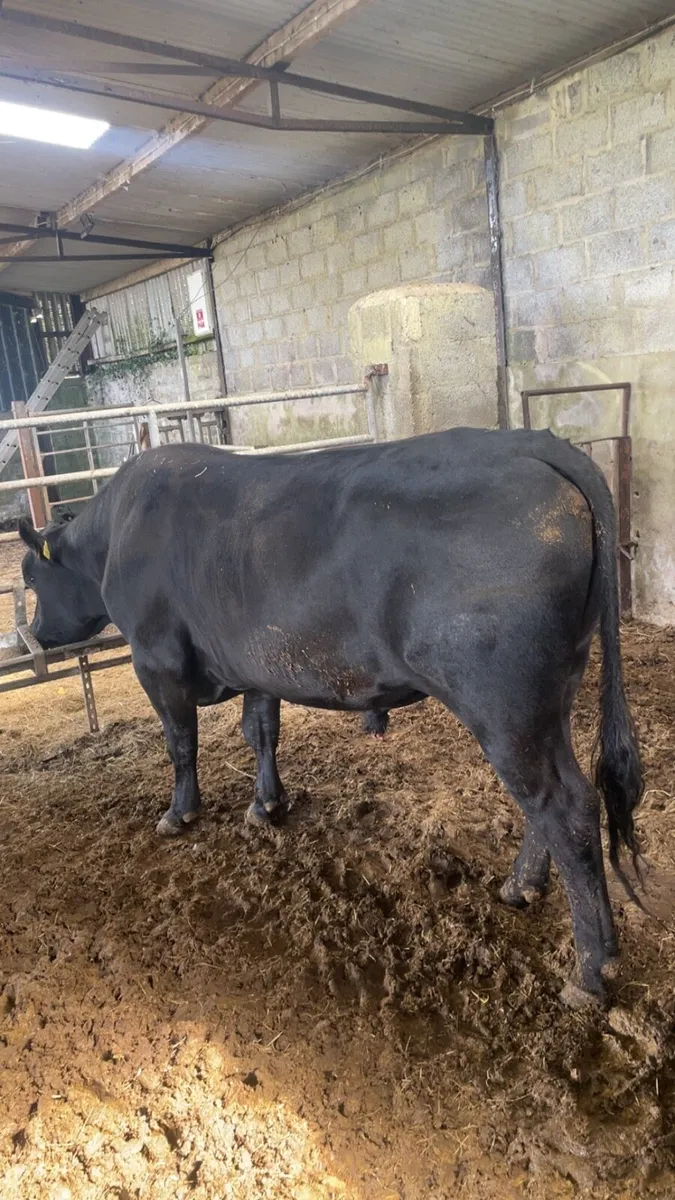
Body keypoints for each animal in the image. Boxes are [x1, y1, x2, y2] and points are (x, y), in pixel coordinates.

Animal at [18, 427, 643, 1005]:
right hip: (551, 694)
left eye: (30, 577)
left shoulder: (156, 658)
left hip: (504, 702)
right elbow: (260, 732)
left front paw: (180, 813)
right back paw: (521, 887)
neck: (116, 532)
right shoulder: (256, 662)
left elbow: (180, 742)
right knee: (548, 802)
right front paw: (266, 804)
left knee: (564, 806)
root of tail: (532, 443)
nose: (40, 634)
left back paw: (591, 971)